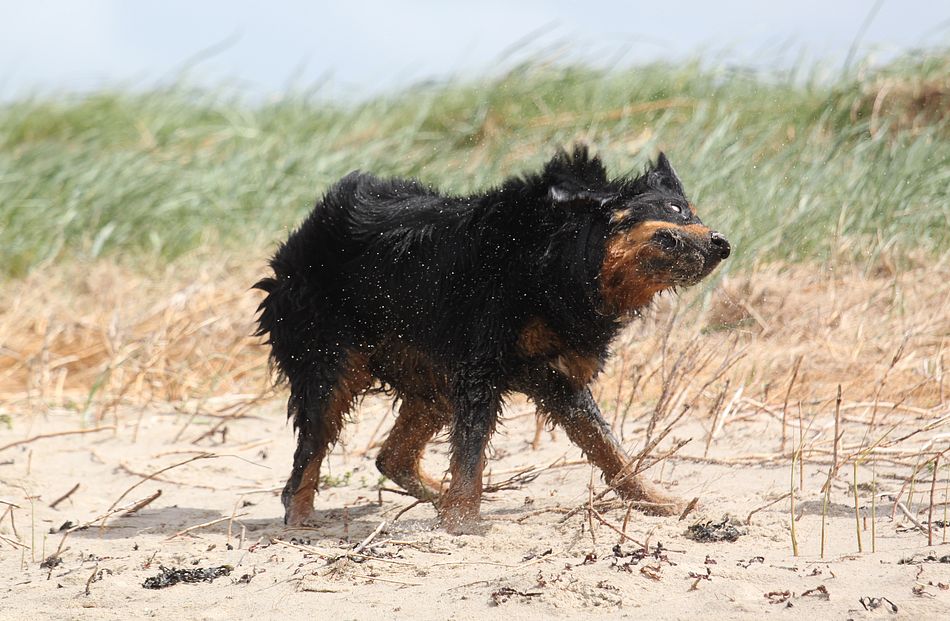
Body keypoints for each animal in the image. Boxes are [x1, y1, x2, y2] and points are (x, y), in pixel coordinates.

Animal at [254, 145, 729, 533]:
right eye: (676, 208)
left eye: (694, 212)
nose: (723, 243)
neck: (558, 267)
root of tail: (298, 237)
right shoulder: (481, 369)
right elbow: (471, 454)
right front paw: (464, 522)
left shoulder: (559, 378)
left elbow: (610, 451)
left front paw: (659, 501)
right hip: (331, 366)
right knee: (310, 451)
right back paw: (301, 517)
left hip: (430, 379)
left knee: (391, 456)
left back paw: (436, 497)